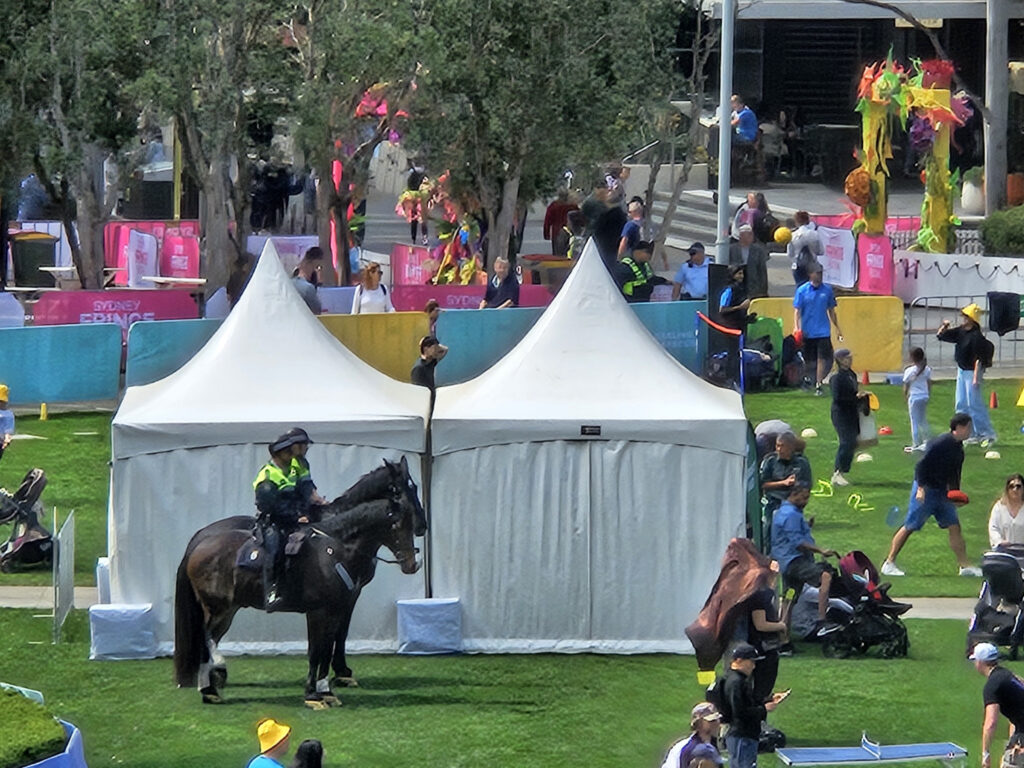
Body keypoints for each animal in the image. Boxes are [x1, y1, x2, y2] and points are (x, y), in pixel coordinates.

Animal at [174, 456, 425, 708]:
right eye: (396, 523)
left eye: (414, 488)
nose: (411, 563)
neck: (334, 550)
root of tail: (199, 543)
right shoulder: (319, 611)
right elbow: (317, 650)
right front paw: (314, 694)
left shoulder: (336, 607)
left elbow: (328, 646)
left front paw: (327, 691)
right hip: (217, 608)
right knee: (205, 639)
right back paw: (215, 676)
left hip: (229, 610)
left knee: (210, 638)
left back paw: (210, 688)